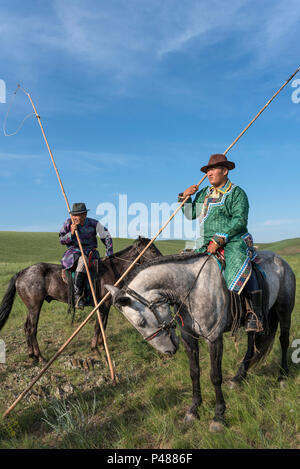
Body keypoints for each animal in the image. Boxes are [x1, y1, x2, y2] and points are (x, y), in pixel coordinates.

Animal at [0, 238, 162, 362]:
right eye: (153, 250)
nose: (162, 260)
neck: (113, 269)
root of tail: (22, 272)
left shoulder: (106, 305)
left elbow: (103, 325)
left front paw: (101, 345)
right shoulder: (102, 305)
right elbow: (98, 326)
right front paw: (95, 349)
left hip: (31, 307)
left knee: (27, 327)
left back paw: (32, 355)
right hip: (35, 307)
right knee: (32, 329)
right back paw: (40, 357)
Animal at [105, 250, 296, 430]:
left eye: (141, 322)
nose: (168, 351)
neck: (191, 289)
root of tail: (281, 261)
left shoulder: (214, 338)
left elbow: (215, 376)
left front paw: (218, 416)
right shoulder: (188, 337)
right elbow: (194, 372)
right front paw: (194, 410)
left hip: (284, 310)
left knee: (284, 340)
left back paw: (283, 376)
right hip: (252, 322)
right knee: (251, 345)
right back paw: (238, 378)